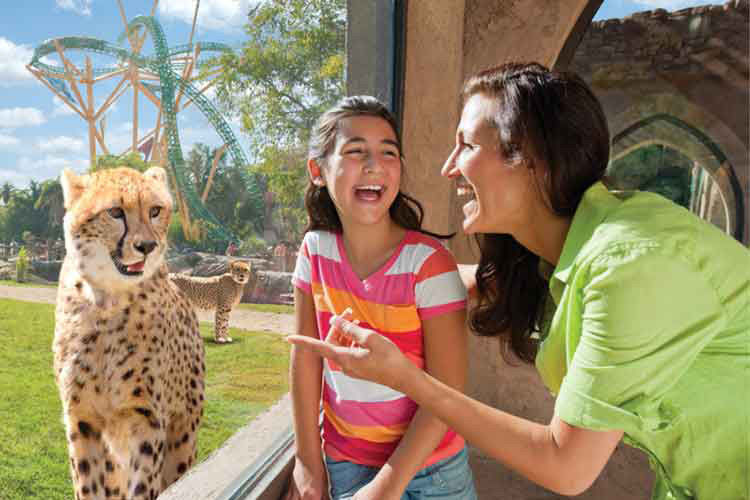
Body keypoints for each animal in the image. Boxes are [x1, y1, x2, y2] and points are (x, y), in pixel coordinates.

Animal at [53, 166, 204, 500]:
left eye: (155, 211)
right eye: (114, 212)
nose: (146, 246)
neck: (108, 302)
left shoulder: (147, 419)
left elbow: (144, 484)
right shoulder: (82, 418)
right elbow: (88, 484)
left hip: (183, 438)